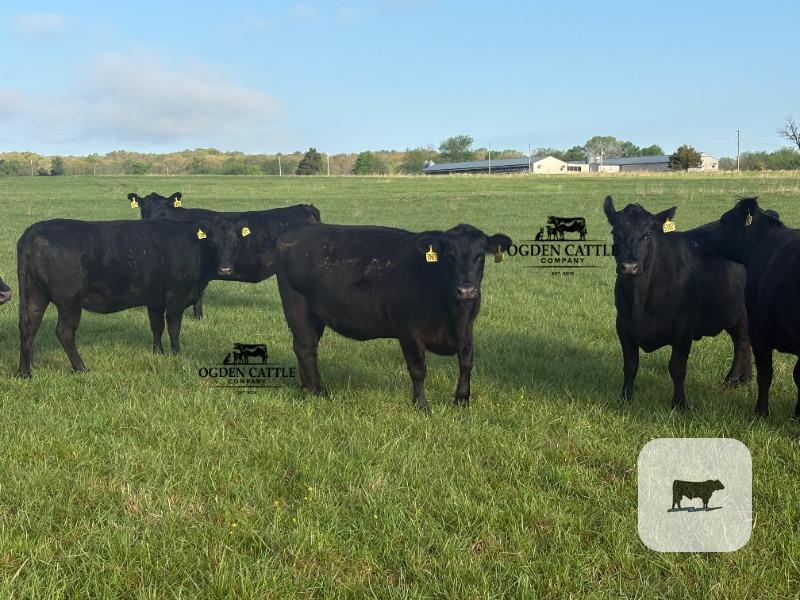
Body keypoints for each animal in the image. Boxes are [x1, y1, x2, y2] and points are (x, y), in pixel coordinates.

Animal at [16, 218, 247, 377]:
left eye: (235, 243)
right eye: (212, 243)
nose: (225, 269)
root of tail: (35, 231)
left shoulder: (155, 300)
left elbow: (156, 326)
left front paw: (158, 352)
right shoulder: (176, 297)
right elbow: (174, 329)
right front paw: (177, 355)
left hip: (33, 295)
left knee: (28, 328)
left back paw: (25, 372)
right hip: (69, 301)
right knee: (64, 332)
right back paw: (81, 368)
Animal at [274, 223, 512, 410]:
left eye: (479, 256)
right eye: (449, 257)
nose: (466, 290)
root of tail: (296, 232)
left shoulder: (467, 329)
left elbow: (466, 362)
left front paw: (461, 400)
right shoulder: (409, 331)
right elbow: (418, 369)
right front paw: (421, 405)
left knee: (305, 348)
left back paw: (307, 388)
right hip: (297, 307)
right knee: (306, 348)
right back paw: (319, 392)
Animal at [603, 196, 751, 410]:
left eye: (647, 234)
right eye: (615, 233)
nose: (630, 266)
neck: (640, 300)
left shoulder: (683, 329)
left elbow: (677, 368)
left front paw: (679, 404)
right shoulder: (623, 326)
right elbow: (630, 365)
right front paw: (625, 399)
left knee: (742, 344)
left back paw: (731, 380)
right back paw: (744, 380)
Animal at [687, 198, 800, 418]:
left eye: (724, 219)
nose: (694, 237)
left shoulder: (761, 332)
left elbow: (768, 373)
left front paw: (761, 412)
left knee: (742, 344)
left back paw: (735, 380)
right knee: (741, 343)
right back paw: (739, 379)